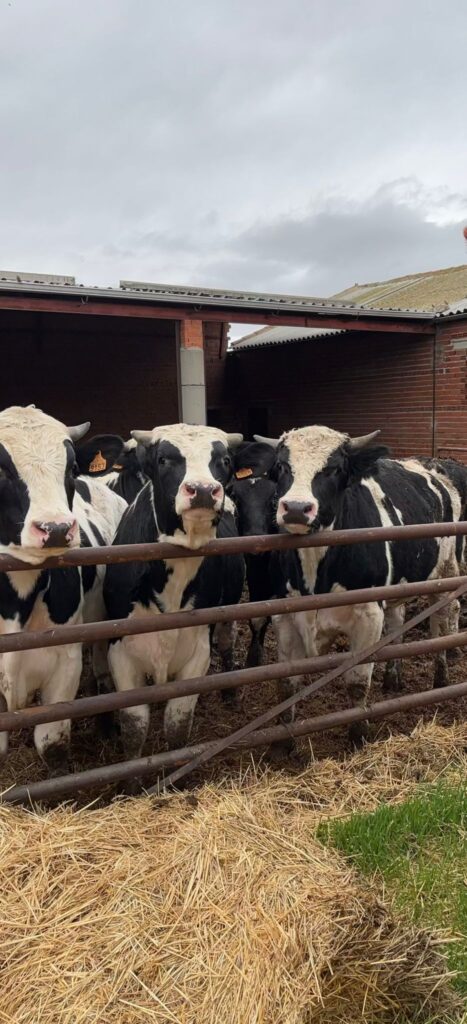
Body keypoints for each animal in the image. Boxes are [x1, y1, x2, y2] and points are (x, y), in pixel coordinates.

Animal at [103, 423, 245, 759]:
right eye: (164, 459)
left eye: (224, 461)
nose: (204, 490)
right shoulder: (121, 653)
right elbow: (135, 727)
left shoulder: (198, 651)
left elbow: (177, 725)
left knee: (227, 640)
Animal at [255, 426, 465, 744]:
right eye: (281, 467)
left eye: (335, 468)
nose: (296, 508)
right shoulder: (285, 616)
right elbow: (287, 685)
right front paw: (283, 744)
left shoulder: (368, 615)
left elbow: (356, 682)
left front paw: (358, 736)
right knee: (397, 622)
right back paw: (392, 679)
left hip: (445, 572)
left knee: (441, 621)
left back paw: (441, 676)